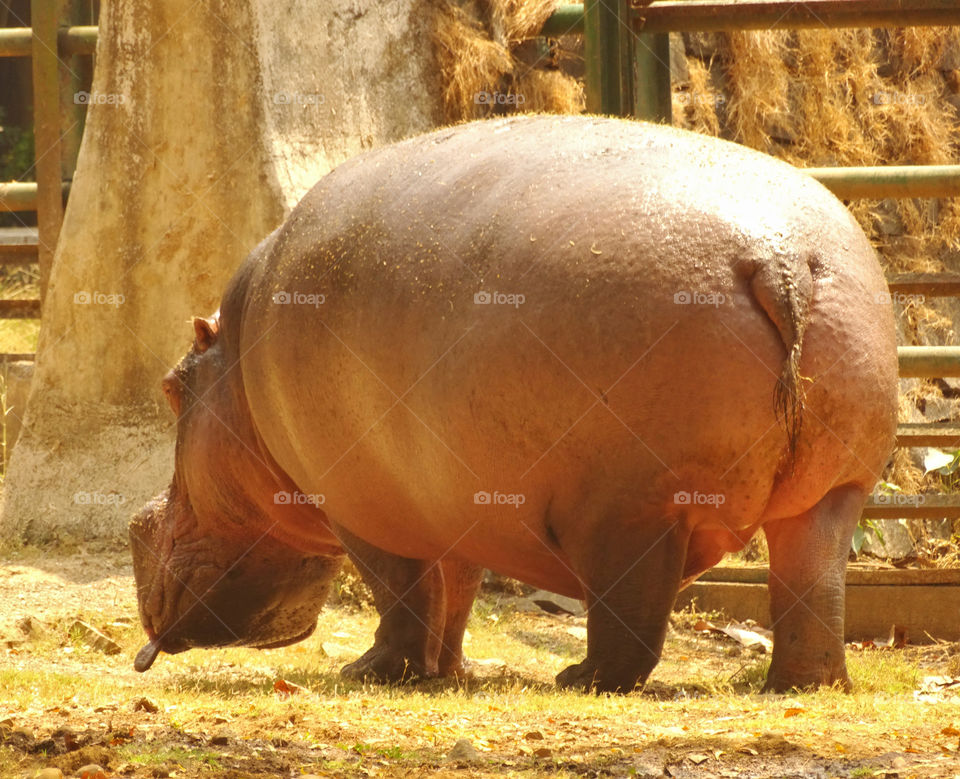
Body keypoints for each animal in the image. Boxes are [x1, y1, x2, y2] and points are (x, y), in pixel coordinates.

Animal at [129, 112, 900, 692]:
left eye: (170, 388)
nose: (139, 522)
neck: (234, 375)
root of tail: (781, 258)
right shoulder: (443, 501)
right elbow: (455, 589)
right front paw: (449, 672)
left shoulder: (362, 507)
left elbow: (403, 591)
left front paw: (373, 671)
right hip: (834, 493)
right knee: (812, 590)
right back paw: (802, 683)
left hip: (628, 508)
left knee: (630, 627)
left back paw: (576, 678)